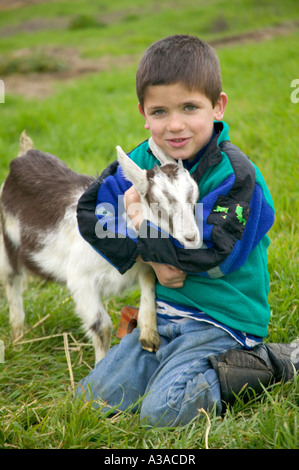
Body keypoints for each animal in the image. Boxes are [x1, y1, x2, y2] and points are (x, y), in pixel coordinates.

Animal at [0, 132, 202, 364]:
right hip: (6, 245)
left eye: (194, 197)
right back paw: (18, 338)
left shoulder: (144, 266)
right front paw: (99, 365)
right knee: (11, 281)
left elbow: (148, 289)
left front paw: (149, 337)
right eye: (156, 203)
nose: (191, 238)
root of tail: (24, 155)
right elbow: (101, 326)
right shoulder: (81, 280)